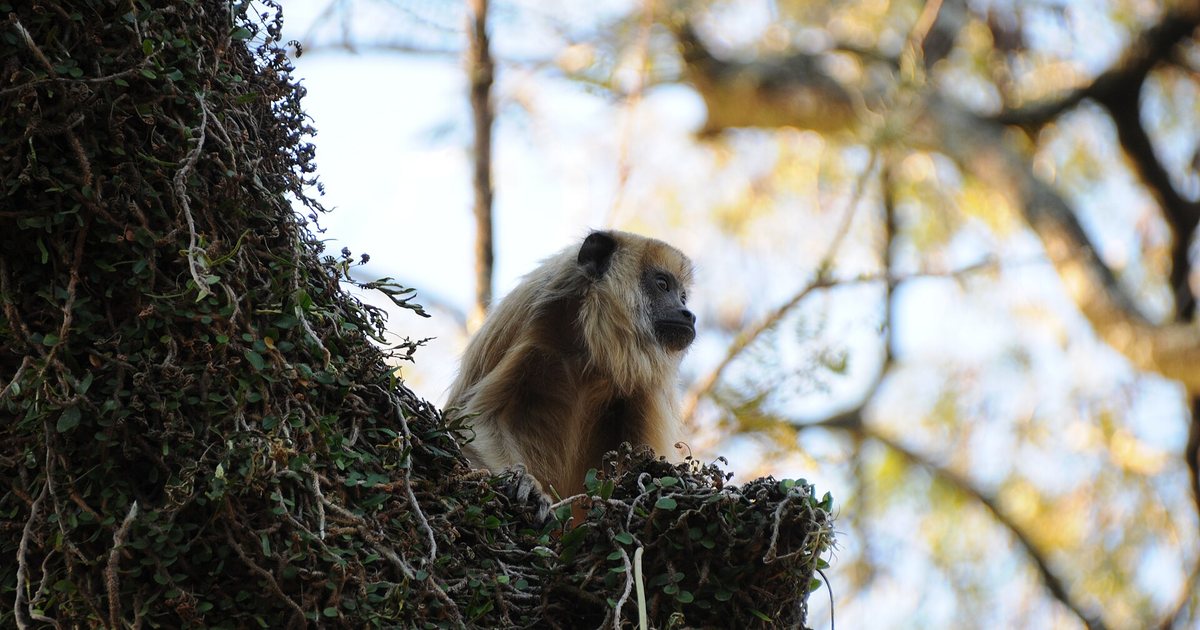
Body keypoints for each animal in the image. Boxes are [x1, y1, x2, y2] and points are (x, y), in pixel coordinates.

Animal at [447, 230, 696, 518]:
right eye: (663, 284)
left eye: (683, 296)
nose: (688, 314)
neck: (590, 352)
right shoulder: (541, 320)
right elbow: (475, 422)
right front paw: (524, 483)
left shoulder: (646, 383)